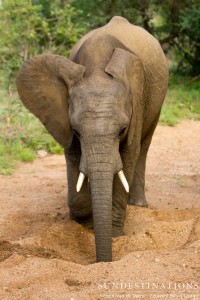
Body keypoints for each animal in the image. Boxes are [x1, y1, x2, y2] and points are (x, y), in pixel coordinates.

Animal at [16, 15, 168, 262]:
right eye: (77, 131)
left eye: (122, 130)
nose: (102, 261)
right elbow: (73, 157)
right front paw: (84, 223)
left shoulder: (137, 99)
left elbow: (129, 154)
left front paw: (114, 234)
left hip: (156, 103)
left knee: (144, 147)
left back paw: (138, 205)